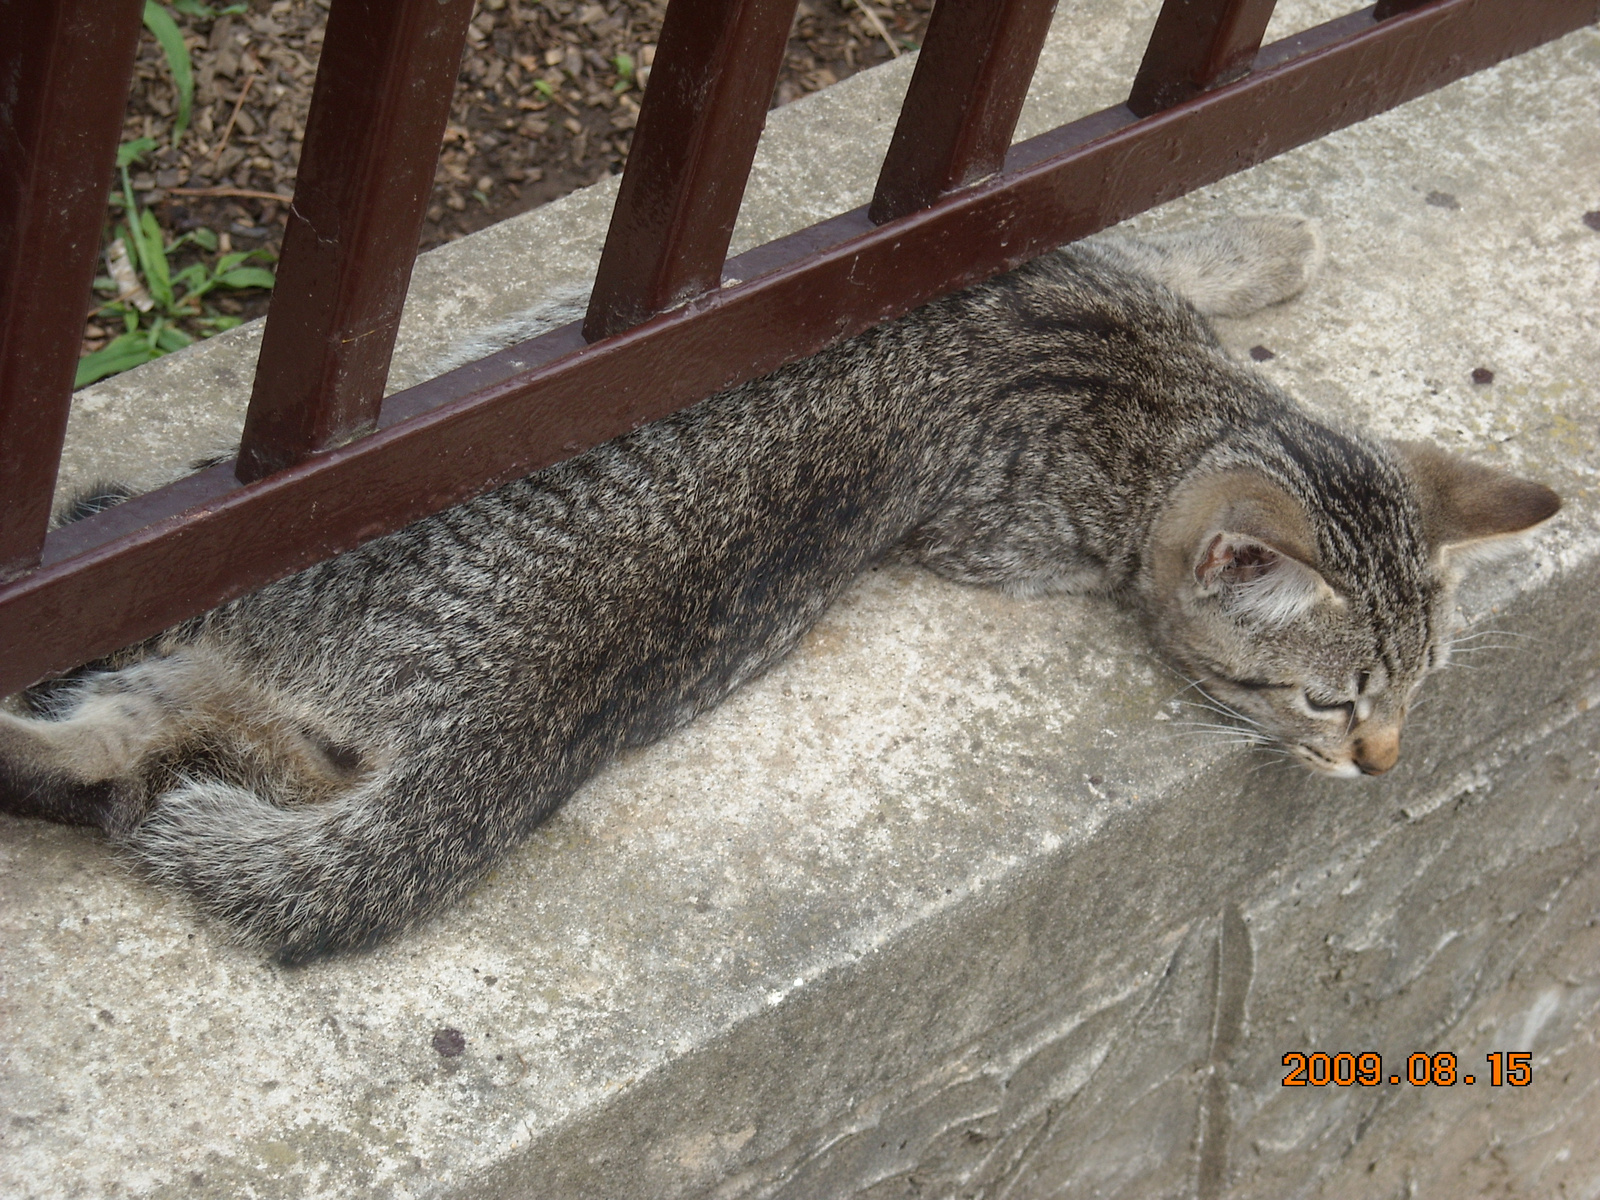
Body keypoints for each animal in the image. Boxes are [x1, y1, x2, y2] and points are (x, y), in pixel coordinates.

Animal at [0, 219, 1548, 960]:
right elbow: (1190, 244)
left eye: (1406, 695)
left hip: (234, 632)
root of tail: (508, 724)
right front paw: (1280, 240)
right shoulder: (1075, 268)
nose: (1383, 762)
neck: (1141, 395)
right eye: (1333, 699)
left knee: (136, 734)